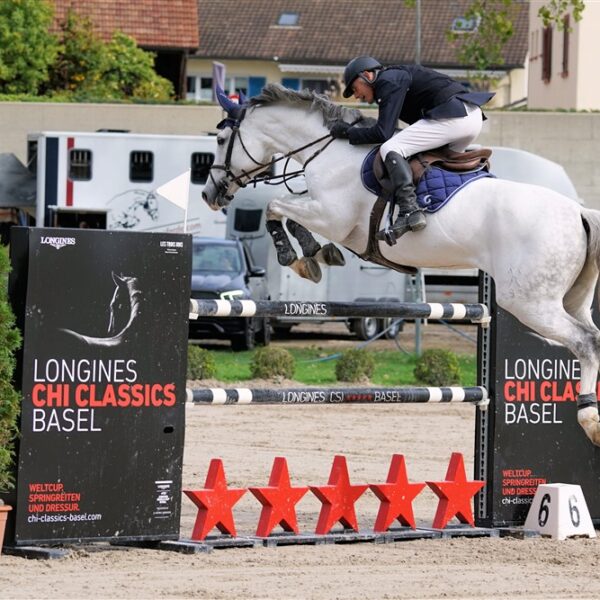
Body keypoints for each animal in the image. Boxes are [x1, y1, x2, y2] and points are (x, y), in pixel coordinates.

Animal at [202, 83, 600, 447]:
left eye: (221, 139)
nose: (209, 194)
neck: (328, 152)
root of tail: (578, 211)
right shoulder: (327, 216)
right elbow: (285, 212)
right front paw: (315, 254)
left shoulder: (333, 217)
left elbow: (275, 207)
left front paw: (297, 255)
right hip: (571, 300)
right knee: (591, 334)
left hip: (529, 302)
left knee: (586, 342)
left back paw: (589, 417)